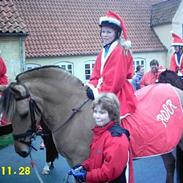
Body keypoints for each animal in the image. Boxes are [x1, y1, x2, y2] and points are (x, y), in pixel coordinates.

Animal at [0, 66, 183, 182]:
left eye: (23, 113)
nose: (20, 150)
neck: (73, 113)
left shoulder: (81, 162)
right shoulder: (76, 165)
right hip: (162, 144)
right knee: (170, 164)